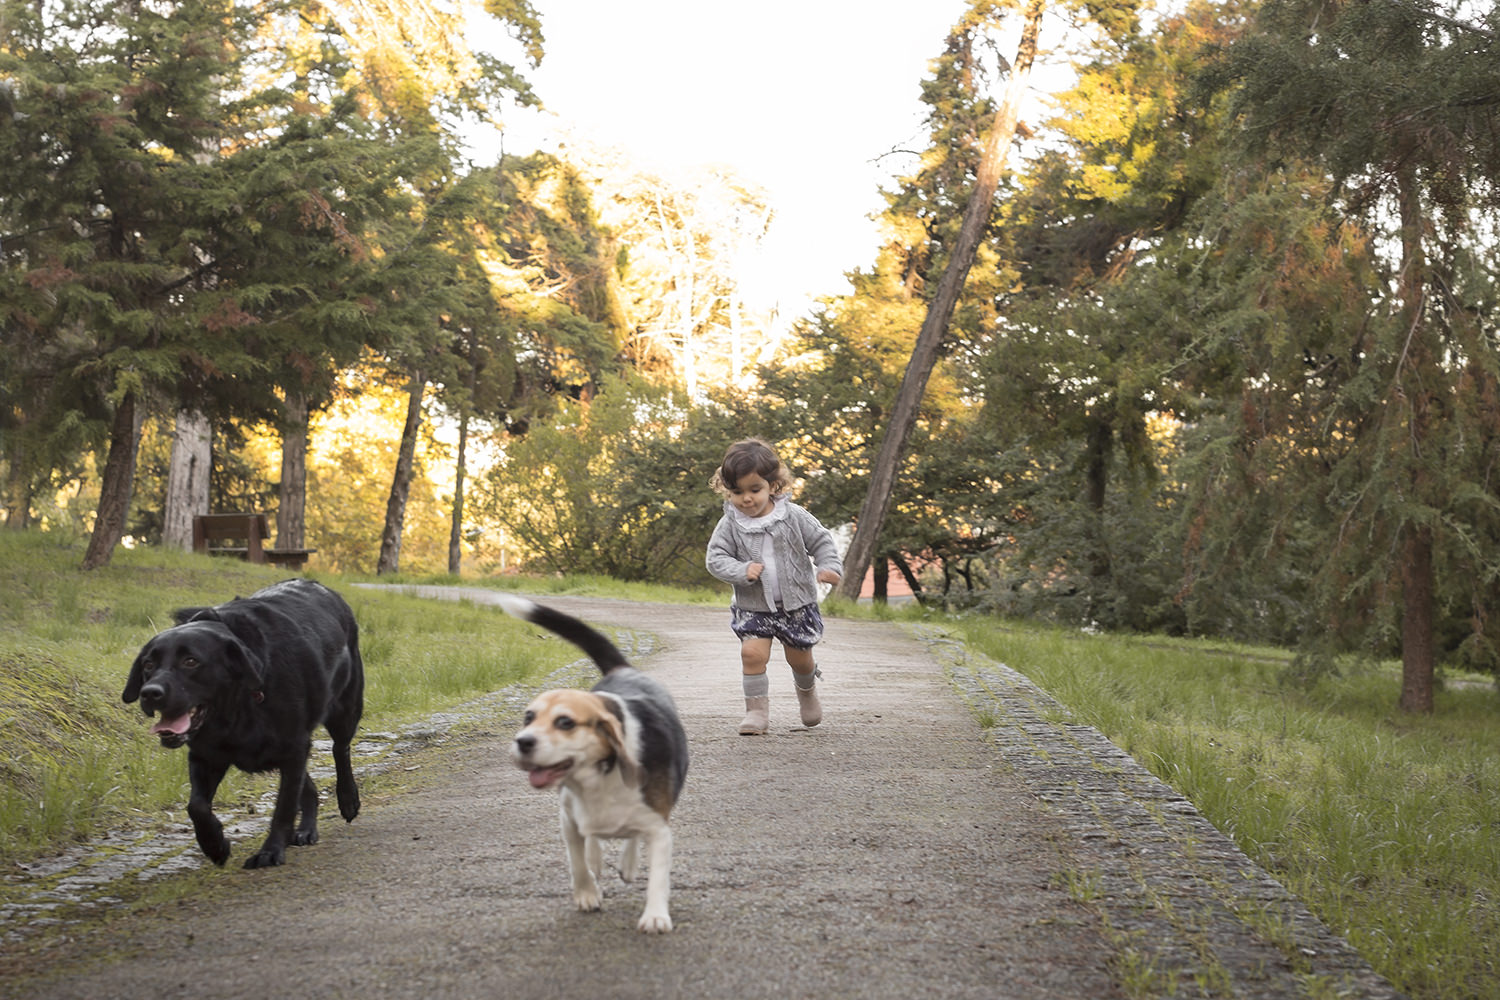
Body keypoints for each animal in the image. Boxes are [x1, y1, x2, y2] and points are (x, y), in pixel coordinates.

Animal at [124, 578, 364, 869]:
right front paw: (215, 845)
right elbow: (197, 806)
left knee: (340, 750)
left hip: (344, 709)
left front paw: (271, 851)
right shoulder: (206, 755)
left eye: (191, 661)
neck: (239, 704)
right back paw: (307, 828)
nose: (150, 693)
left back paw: (348, 799)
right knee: (309, 785)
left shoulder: (294, 747)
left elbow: (283, 807)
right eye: (148, 664)